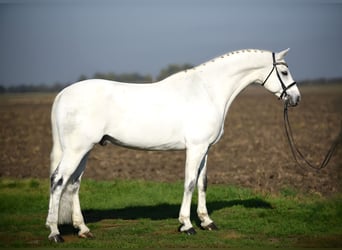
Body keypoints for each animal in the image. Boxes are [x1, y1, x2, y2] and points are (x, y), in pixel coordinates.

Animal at [46, 47, 300, 241]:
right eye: (284, 71)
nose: (296, 98)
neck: (207, 91)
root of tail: (62, 94)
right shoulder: (195, 148)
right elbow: (189, 183)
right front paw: (186, 225)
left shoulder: (205, 150)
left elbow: (202, 183)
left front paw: (207, 222)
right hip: (76, 150)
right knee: (58, 181)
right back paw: (55, 232)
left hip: (84, 150)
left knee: (74, 183)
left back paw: (83, 229)